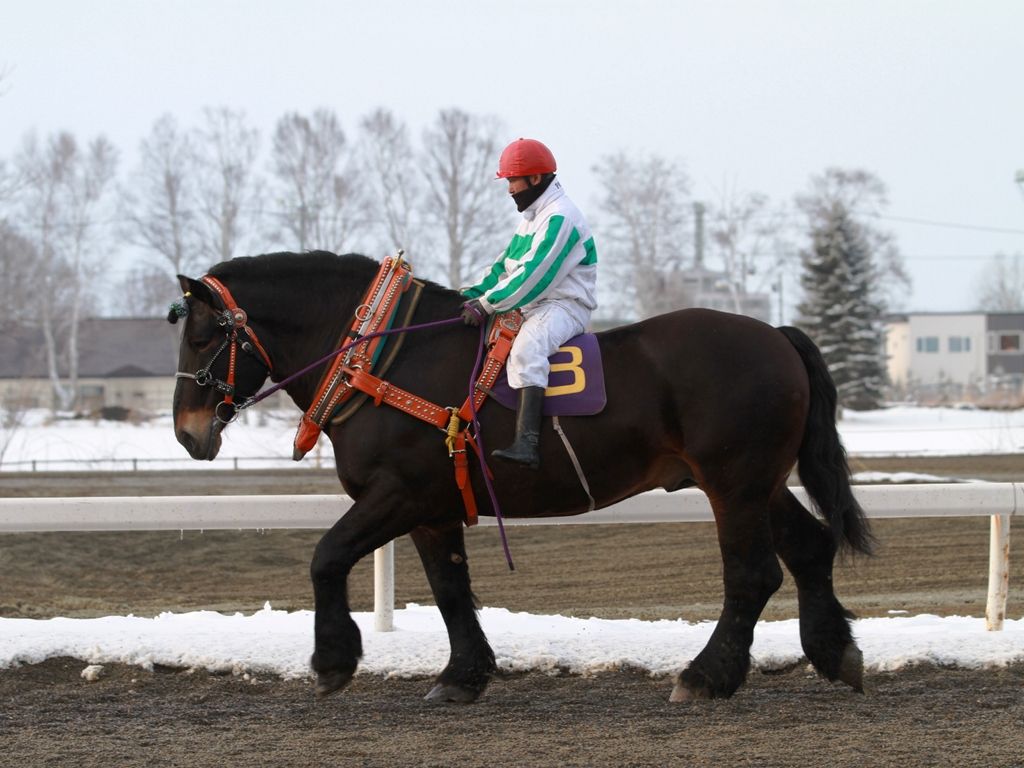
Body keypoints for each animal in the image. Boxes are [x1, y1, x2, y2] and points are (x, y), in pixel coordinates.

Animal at [169, 250, 872, 703]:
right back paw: (834, 651)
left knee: (752, 575)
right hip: (760, 485)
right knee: (810, 549)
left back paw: (707, 676)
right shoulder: (432, 509)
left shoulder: (397, 493)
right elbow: (450, 588)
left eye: (203, 339)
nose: (187, 431)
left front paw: (333, 659)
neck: (386, 358)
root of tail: (774, 335)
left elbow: (327, 557)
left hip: (734, 484)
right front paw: (463, 675)